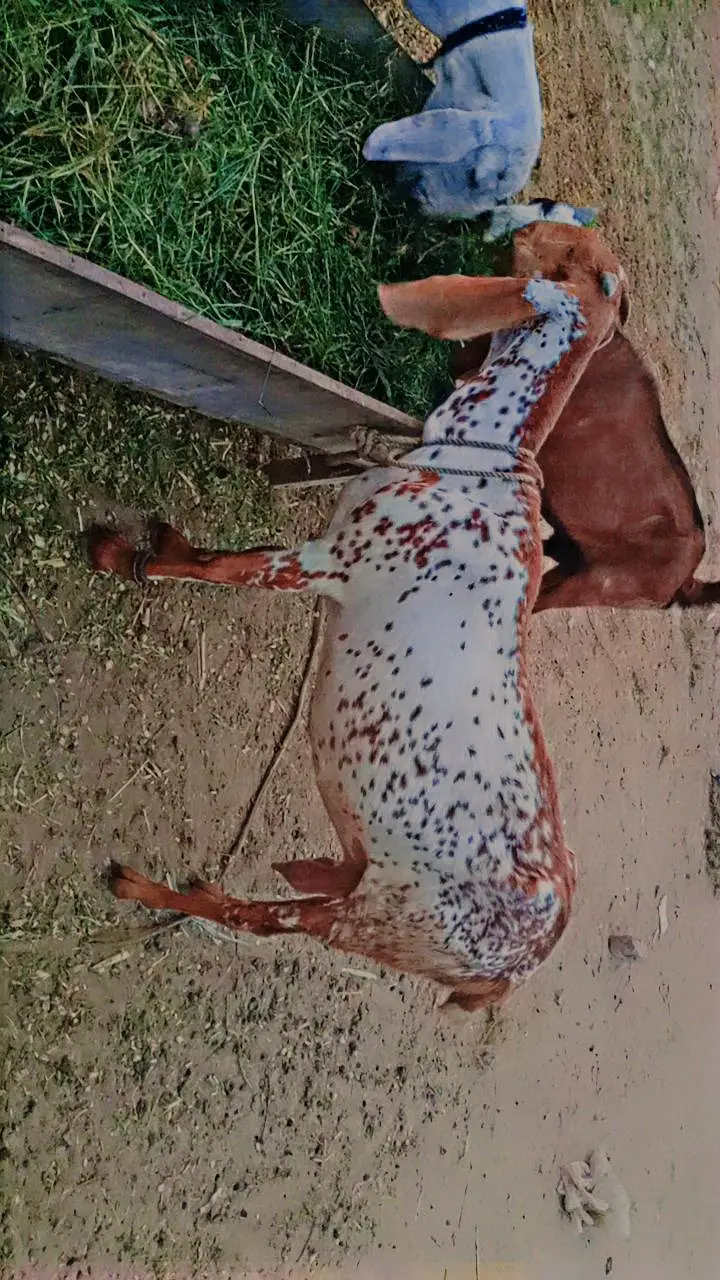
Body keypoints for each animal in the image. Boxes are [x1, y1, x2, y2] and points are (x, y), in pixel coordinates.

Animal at [89, 223, 627, 1014]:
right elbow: (226, 552)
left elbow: (229, 568)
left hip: (378, 919)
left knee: (263, 921)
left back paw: (147, 888)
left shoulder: (333, 561)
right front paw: (164, 542)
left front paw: (120, 557)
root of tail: (508, 972)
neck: (482, 468)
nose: (520, 222)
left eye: (559, 244)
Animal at [453, 228, 720, 610]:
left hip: (600, 583)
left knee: (538, 602)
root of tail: (688, 581)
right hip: (576, 554)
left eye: (571, 255)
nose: (521, 233)